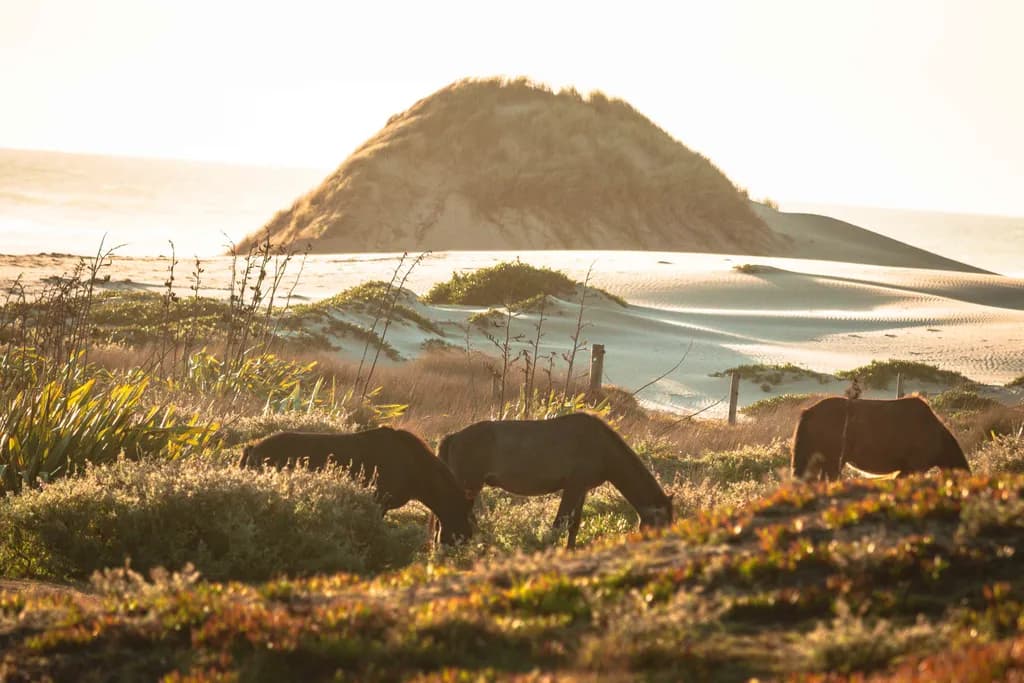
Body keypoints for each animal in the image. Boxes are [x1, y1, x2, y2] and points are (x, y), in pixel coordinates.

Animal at [438, 413, 673, 549]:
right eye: (663, 522)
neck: (602, 447)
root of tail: (454, 437)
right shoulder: (573, 487)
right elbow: (559, 524)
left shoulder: (582, 489)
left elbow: (574, 524)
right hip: (468, 486)